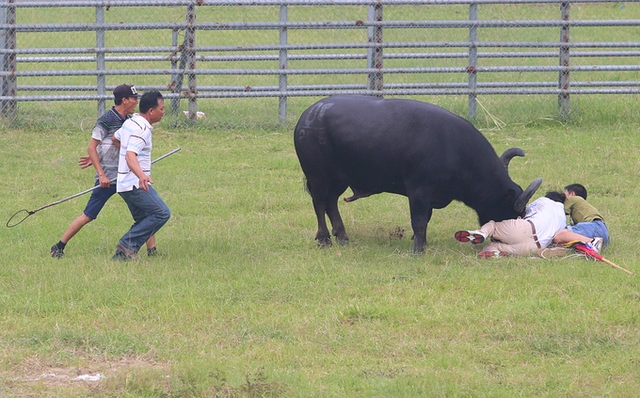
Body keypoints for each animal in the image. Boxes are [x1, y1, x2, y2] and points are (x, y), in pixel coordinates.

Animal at [294, 95, 540, 253]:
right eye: (513, 213)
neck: (453, 148)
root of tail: (308, 116)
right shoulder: (419, 192)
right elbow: (419, 221)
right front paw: (418, 249)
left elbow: (426, 219)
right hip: (319, 176)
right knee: (319, 203)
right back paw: (324, 239)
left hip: (338, 180)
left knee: (331, 203)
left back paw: (342, 236)